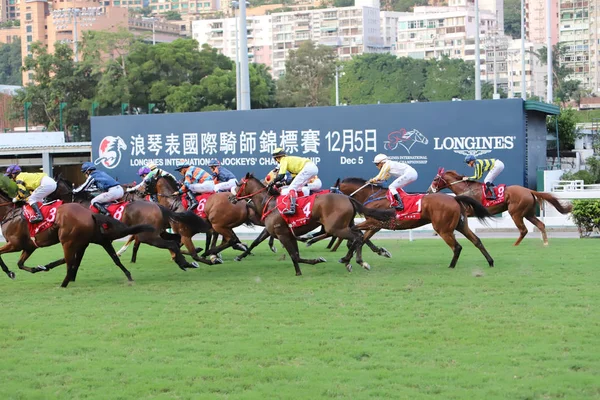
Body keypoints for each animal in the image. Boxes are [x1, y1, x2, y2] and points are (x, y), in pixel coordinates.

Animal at [0, 188, 155, 286]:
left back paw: (63, 281)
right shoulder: (29, 246)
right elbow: (20, 264)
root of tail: (89, 214)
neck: (9, 215)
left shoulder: (15, 244)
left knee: (70, 260)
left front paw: (9, 272)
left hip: (68, 241)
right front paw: (35, 269)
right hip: (90, 240)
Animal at [232, 175, 396, 276]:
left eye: (238, 185)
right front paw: (240, 256)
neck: (269, 203)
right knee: (359, 236)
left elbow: (295, 256)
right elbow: (260, 242)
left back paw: (357, 261)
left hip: (335, 227)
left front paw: (312, 262)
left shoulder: (282, 234)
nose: (231, 198)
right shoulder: (286, 234)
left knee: (356, 237)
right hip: (345, 224)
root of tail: (347, 198)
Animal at [322, 177, 494, 268]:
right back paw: (490, 261)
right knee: (477, 241)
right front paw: (350, 258)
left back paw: (451, 266)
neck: (372, 197)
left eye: (331, 192)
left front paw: (352, 258)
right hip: (461, 225)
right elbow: (362, 239)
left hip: (443, 229)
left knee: (457, 247)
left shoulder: (374, 223)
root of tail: (454, 198)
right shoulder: (375, 225)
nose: (325, 204)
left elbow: (357, 236)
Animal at [426, 168, 572, 245]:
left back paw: (515, 245)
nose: (428, 191)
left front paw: (437, 231)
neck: (466, 189)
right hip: (528, 213)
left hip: (516, 213)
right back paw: (545, 243)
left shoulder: (469, 211)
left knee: (523, 230)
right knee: (540, 224)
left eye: (435, 179)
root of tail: (529, 190)